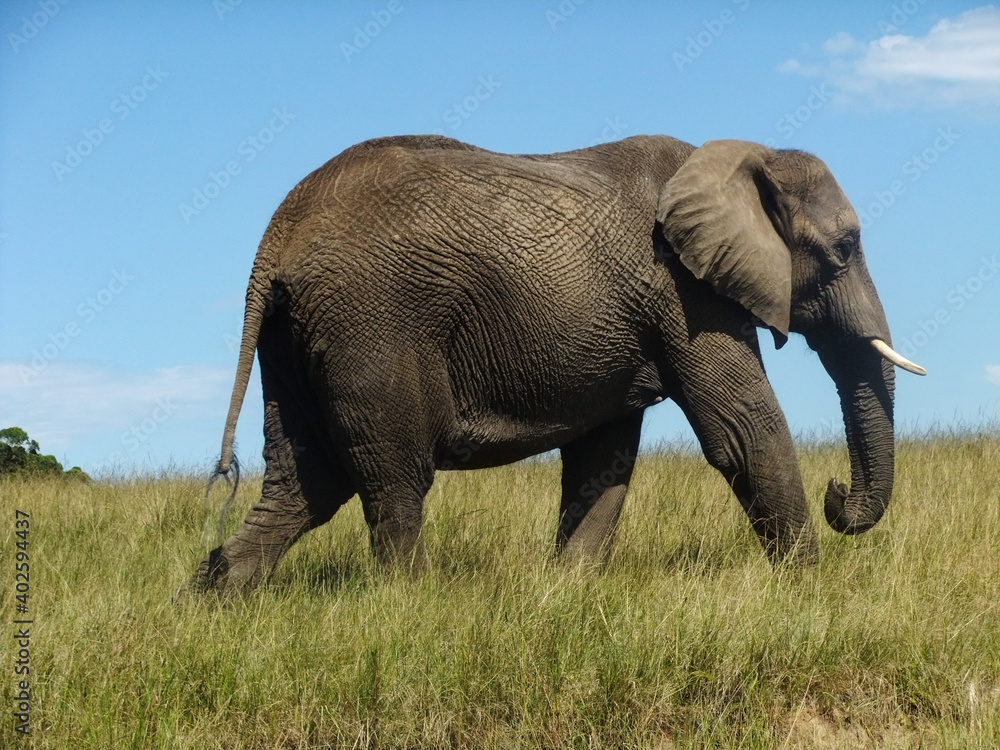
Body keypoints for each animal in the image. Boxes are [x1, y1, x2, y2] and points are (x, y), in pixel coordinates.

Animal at [181, 134, 925, 595]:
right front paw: (809, 589)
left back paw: (210, 600)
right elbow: (744, 432)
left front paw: (570, 591)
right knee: (392, 481)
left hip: (295, 336)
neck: (739, 157)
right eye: (845, 247)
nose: (838, 492)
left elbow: (605, 457)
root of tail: (276, 239)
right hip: (373, 324)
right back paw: (408, 604)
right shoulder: (686, 294)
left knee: (302, 482)